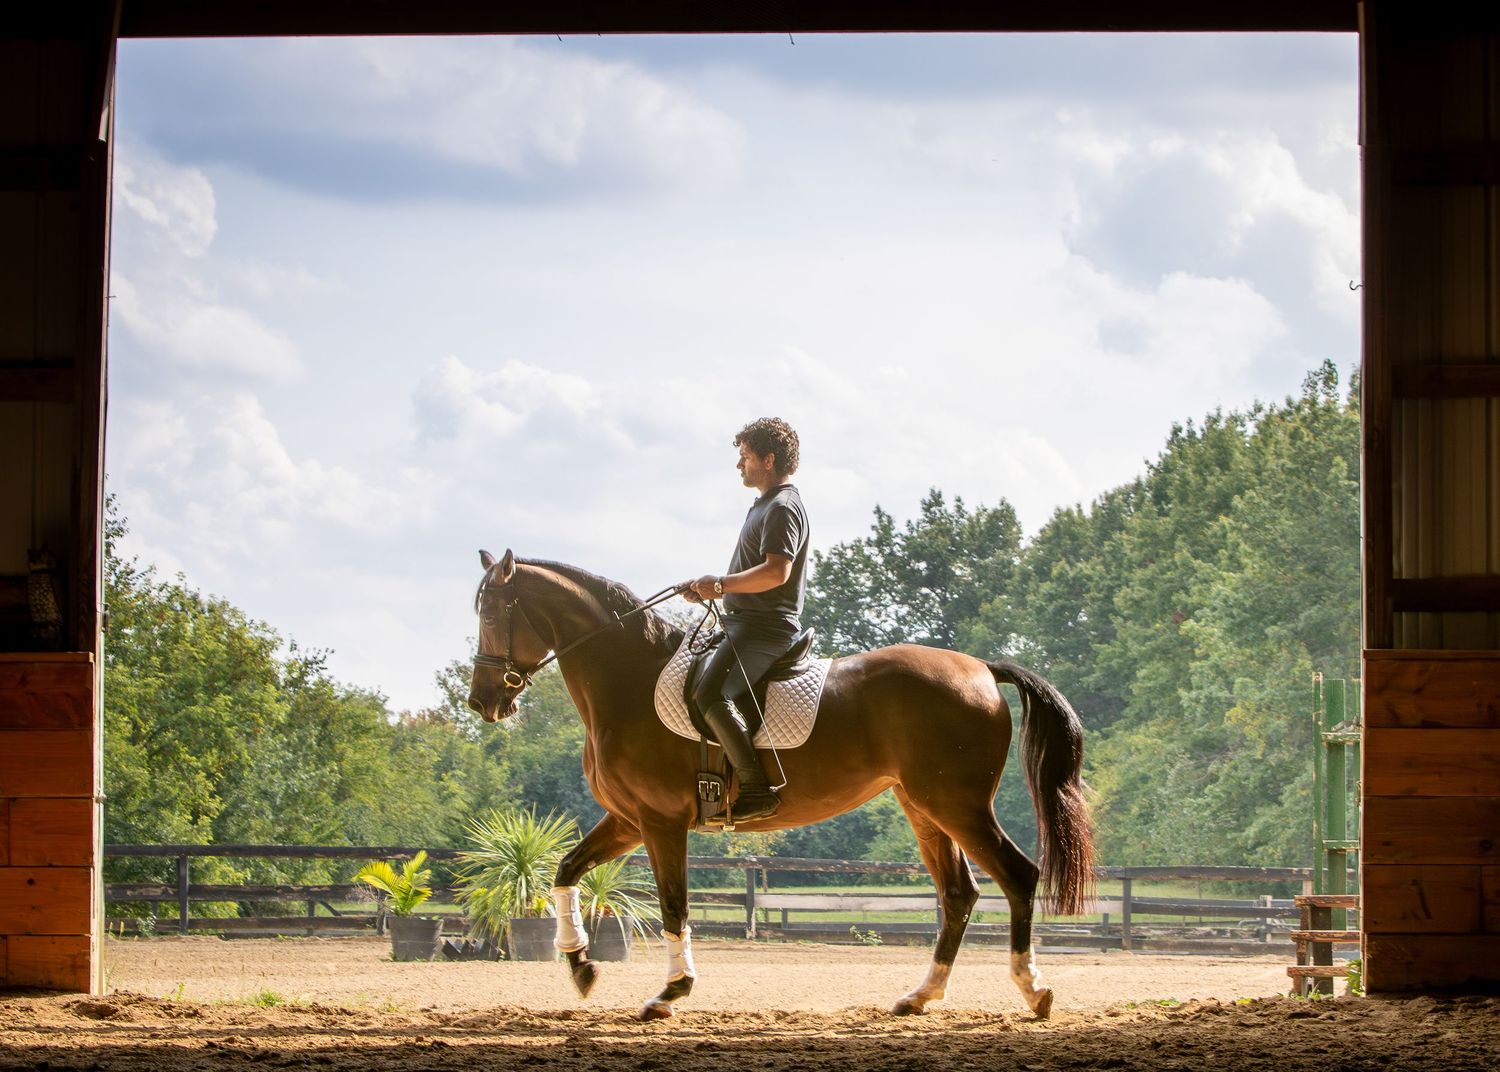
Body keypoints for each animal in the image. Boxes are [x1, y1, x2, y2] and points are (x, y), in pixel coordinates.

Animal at [467, 549, 1094, 1022]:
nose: (482, 702)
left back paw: (1034, 990)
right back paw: (920, 996)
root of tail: (983, 670)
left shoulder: (661, 822)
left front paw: (670, 993)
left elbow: (673, 904)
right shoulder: (627, 820)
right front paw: (581, 966)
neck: (629, 681)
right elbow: (565, 871)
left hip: (957, 804)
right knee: (959, 894)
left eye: (493, 614)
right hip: (924, 808)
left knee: (1018, 875)